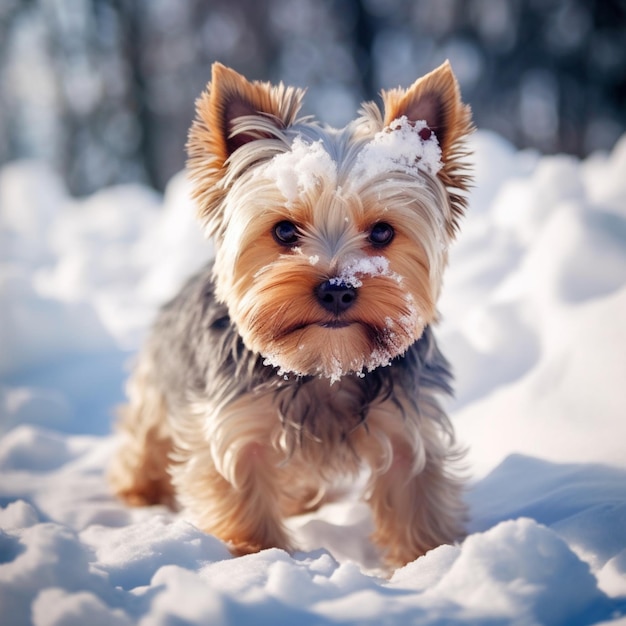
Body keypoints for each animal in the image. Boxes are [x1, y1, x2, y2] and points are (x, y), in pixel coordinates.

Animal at [108, 59, 468, 564]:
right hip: (162, 380)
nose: (337, 290)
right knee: (144, 432)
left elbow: (416, 500)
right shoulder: (236, 426)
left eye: (381, 232)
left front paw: (429, 561)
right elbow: (245, 503)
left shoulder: (407, 424)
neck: (325, 365)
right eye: (283, 231)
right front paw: (256, 559)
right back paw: (139, 488)